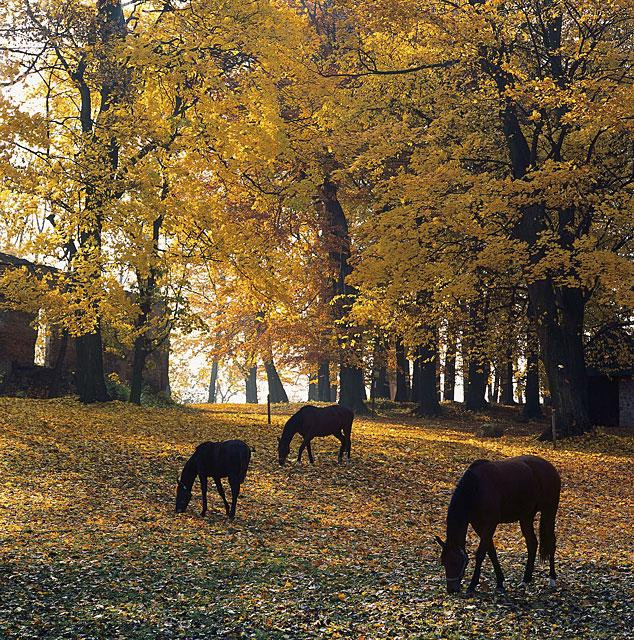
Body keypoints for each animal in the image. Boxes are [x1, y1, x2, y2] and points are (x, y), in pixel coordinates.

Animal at [432, 456, 560, 596]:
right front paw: (500, 583)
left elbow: (481, 553)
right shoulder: (477, 525)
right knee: (532, 543)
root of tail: (549, 467)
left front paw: (472, 585)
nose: (451, 589)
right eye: (443, 562)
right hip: (526, 517)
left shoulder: (490, 524)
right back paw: (525, 580)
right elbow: (491, 551)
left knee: (551, 543)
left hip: (549, 512)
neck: (476, 488)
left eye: (454, 562)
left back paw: (552, 578)